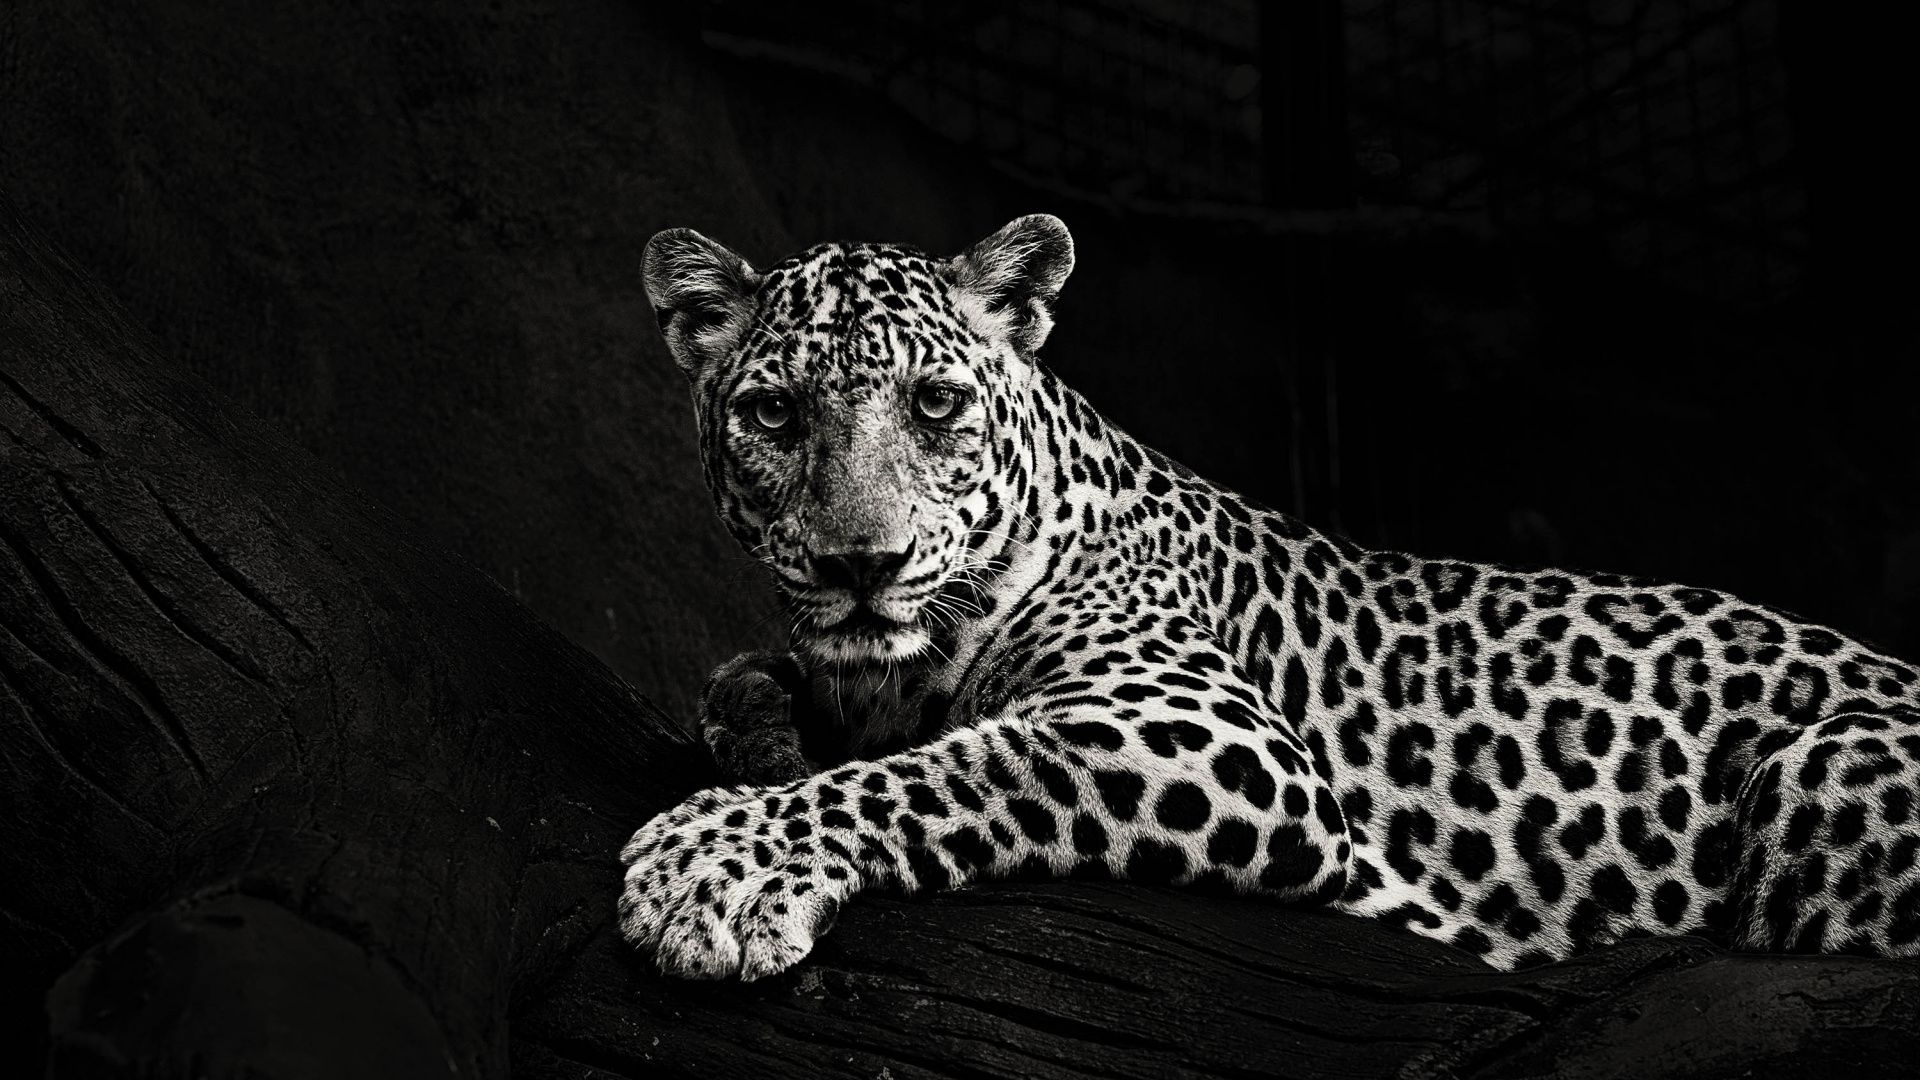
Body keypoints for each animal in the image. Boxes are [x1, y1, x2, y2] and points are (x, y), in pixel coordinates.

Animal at [619, 214, 1920, 980]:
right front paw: (765, 739)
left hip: (1821, 770)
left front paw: (710, 866)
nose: (862, 564)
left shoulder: (1201, 732)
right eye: (774, 414)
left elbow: (957, 767)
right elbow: (750, 690)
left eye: (935, 405)